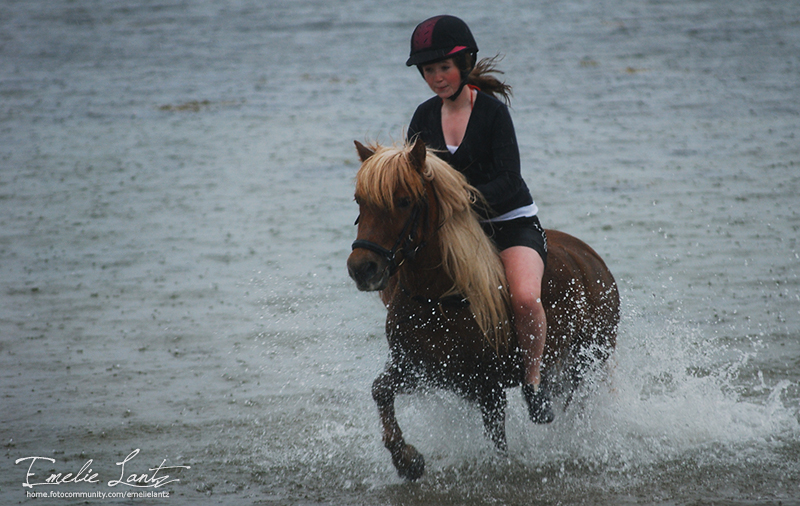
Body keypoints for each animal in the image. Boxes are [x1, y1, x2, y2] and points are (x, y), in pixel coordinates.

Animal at [348, 139, 620, 482]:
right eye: (360, 200)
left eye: (404, 201)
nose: (362, 269)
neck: (438, 298)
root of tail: (591, 258)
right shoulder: (418, 368)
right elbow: (380, 390)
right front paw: (407, 459)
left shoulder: (489, 388)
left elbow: (497, 441)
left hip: (588, 360)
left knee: (574, 407)